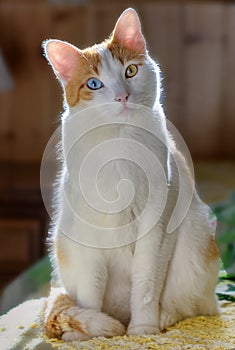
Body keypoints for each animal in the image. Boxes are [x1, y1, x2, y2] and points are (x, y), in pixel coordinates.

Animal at [41, 7, 218, 342]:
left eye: (131, 71)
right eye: (93, 84)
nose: (122, 96)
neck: (119, 142)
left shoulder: (156, 226)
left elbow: (146, 285)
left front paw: (142, 329)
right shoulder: (88, 236)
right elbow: (90, 290)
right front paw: (87, 334)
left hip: (197, 248)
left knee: (190, 305)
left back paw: (161, 318)